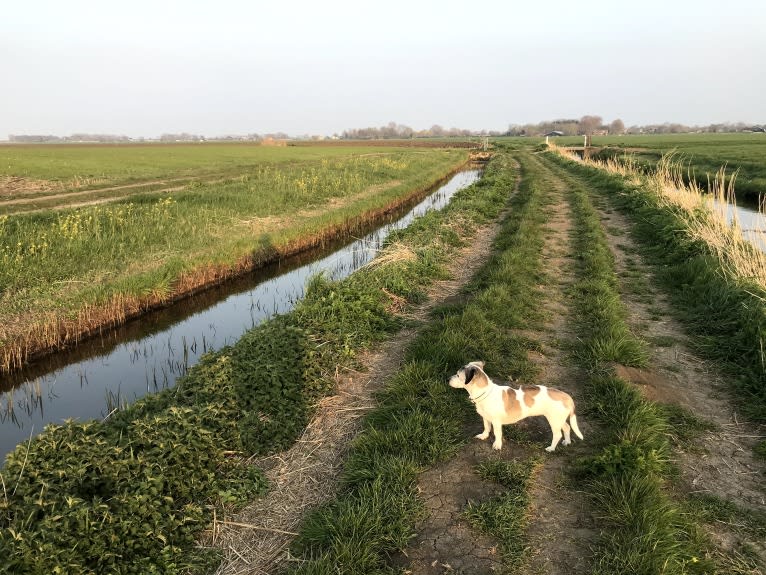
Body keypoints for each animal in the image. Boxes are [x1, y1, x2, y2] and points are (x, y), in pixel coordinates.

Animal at [450, 362, 584, 452]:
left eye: (458, 375)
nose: (448, 379)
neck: (486, 392)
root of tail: (566, 396)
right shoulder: (486, 417)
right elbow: (486, 427)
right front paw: (484, 436)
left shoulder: (496, 422)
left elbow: (497, 433)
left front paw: (497, 445)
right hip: (559, 419)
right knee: (567, 427)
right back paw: (567, 442)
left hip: (554, 421)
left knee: (557, 434)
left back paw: (551, 448)